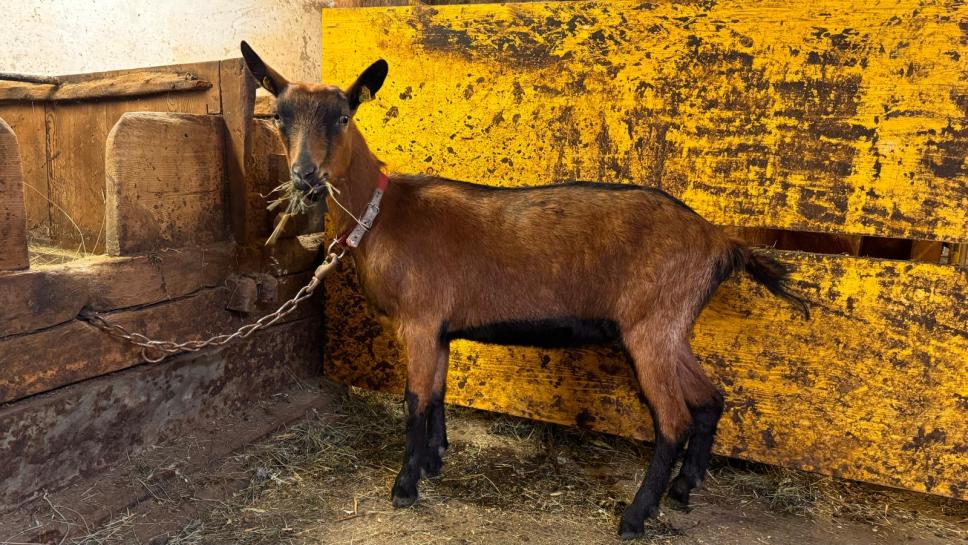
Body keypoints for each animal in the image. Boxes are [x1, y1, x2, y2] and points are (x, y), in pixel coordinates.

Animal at [242, 43, 808, 540]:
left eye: (343, 116)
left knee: (673, 420)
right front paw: (434, 461)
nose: (306, 178)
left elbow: (414, 400)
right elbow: (438, 393)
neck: (384, 213)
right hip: (671, 328)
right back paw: (684, 490)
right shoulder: (440, 328)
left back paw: (634, 518)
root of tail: (720, 241)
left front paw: (404, 486)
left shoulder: (419, 321)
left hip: (651, 327)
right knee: (710, 399)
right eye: (280, 117)